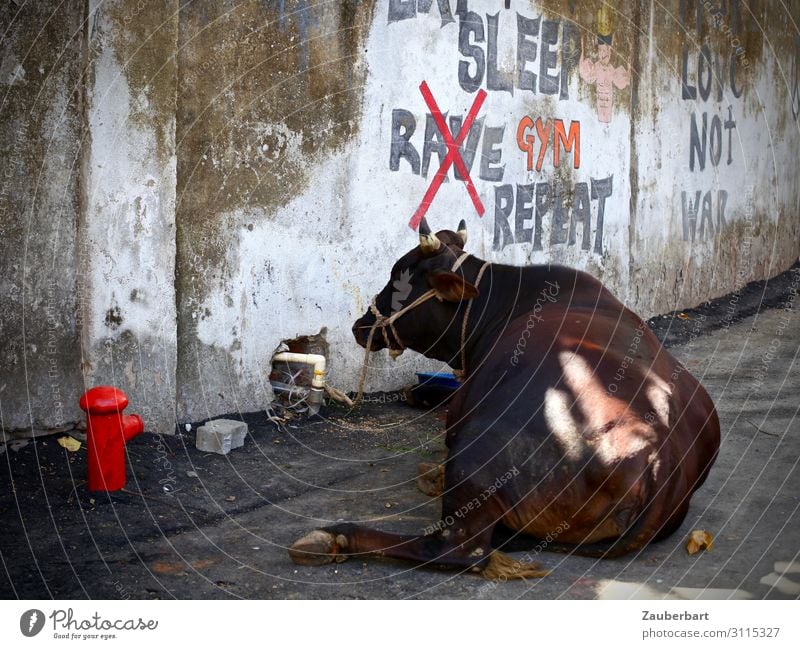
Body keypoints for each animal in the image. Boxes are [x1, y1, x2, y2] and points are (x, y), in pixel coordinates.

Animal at [290, 219, 720, 576]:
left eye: (399, 277)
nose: (361, 324)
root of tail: (659, 456)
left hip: (478, 456)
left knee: (459, 550)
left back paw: (334, 537)